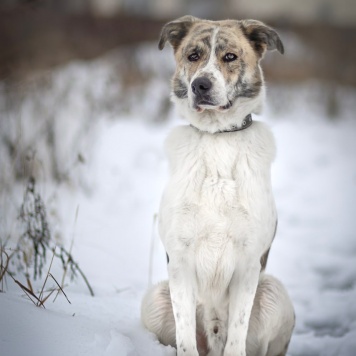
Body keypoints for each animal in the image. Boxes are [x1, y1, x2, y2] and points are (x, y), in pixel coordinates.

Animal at [142, 16, 294, 356]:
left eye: (230, 57)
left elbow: (237, 333)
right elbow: (185, 337)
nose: (200, 85)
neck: (217, 138)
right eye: (193, 56)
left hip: (275, 293)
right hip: (154, 299)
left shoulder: (249, 264)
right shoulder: (180, 262)